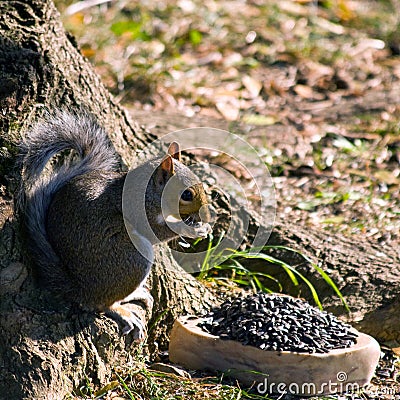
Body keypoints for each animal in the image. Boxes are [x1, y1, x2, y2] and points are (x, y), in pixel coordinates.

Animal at [18, 111, 212, 338]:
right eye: (187, 194)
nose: (206, 215)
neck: (149, 191)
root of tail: (81, 288)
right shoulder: (140, 210)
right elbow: (159, 232)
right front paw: (193, 229)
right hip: (133, 259)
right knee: (99, 304)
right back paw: (122, 312)